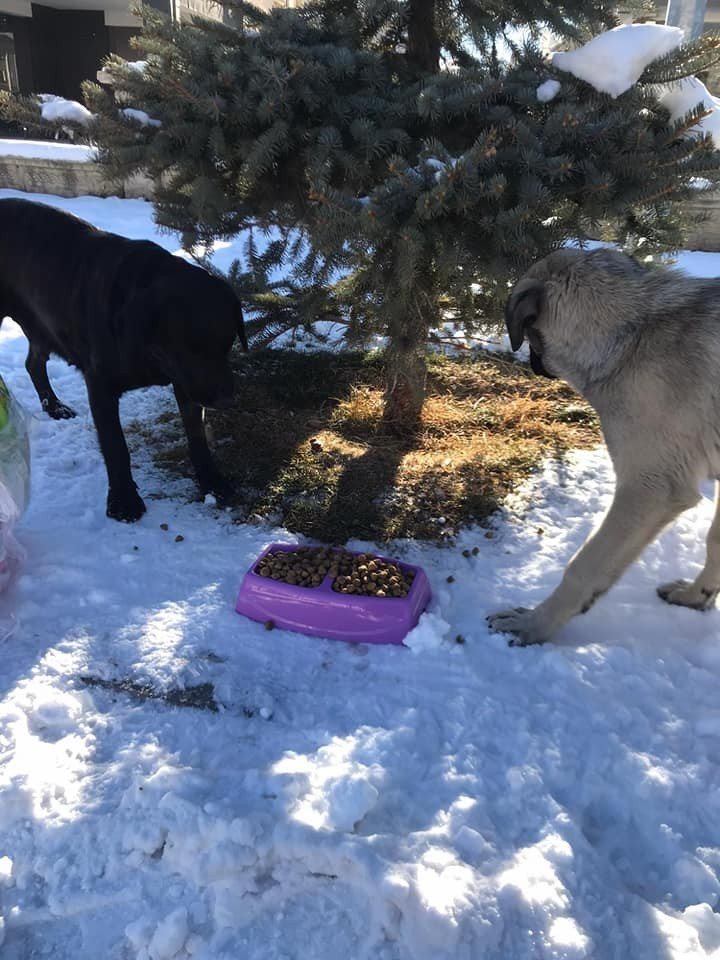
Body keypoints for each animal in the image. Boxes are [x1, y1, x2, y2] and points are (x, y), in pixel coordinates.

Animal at [0, 198, 246, 520]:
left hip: (42, 326)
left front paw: (212, 483)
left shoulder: (184, 385)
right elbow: (116, 446)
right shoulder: (101, 386)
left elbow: (197, 437)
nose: (227, 400)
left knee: (33, 363)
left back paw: (54, 407)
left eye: (228, 344)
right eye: (190, 347)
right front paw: (123, 500)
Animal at [486, 248, 720, 644]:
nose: (530, 365)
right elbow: (715, 541)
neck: (632, 334)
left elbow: (584, 566)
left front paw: (535, 625)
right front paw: (695, 597)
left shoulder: (649, 489)